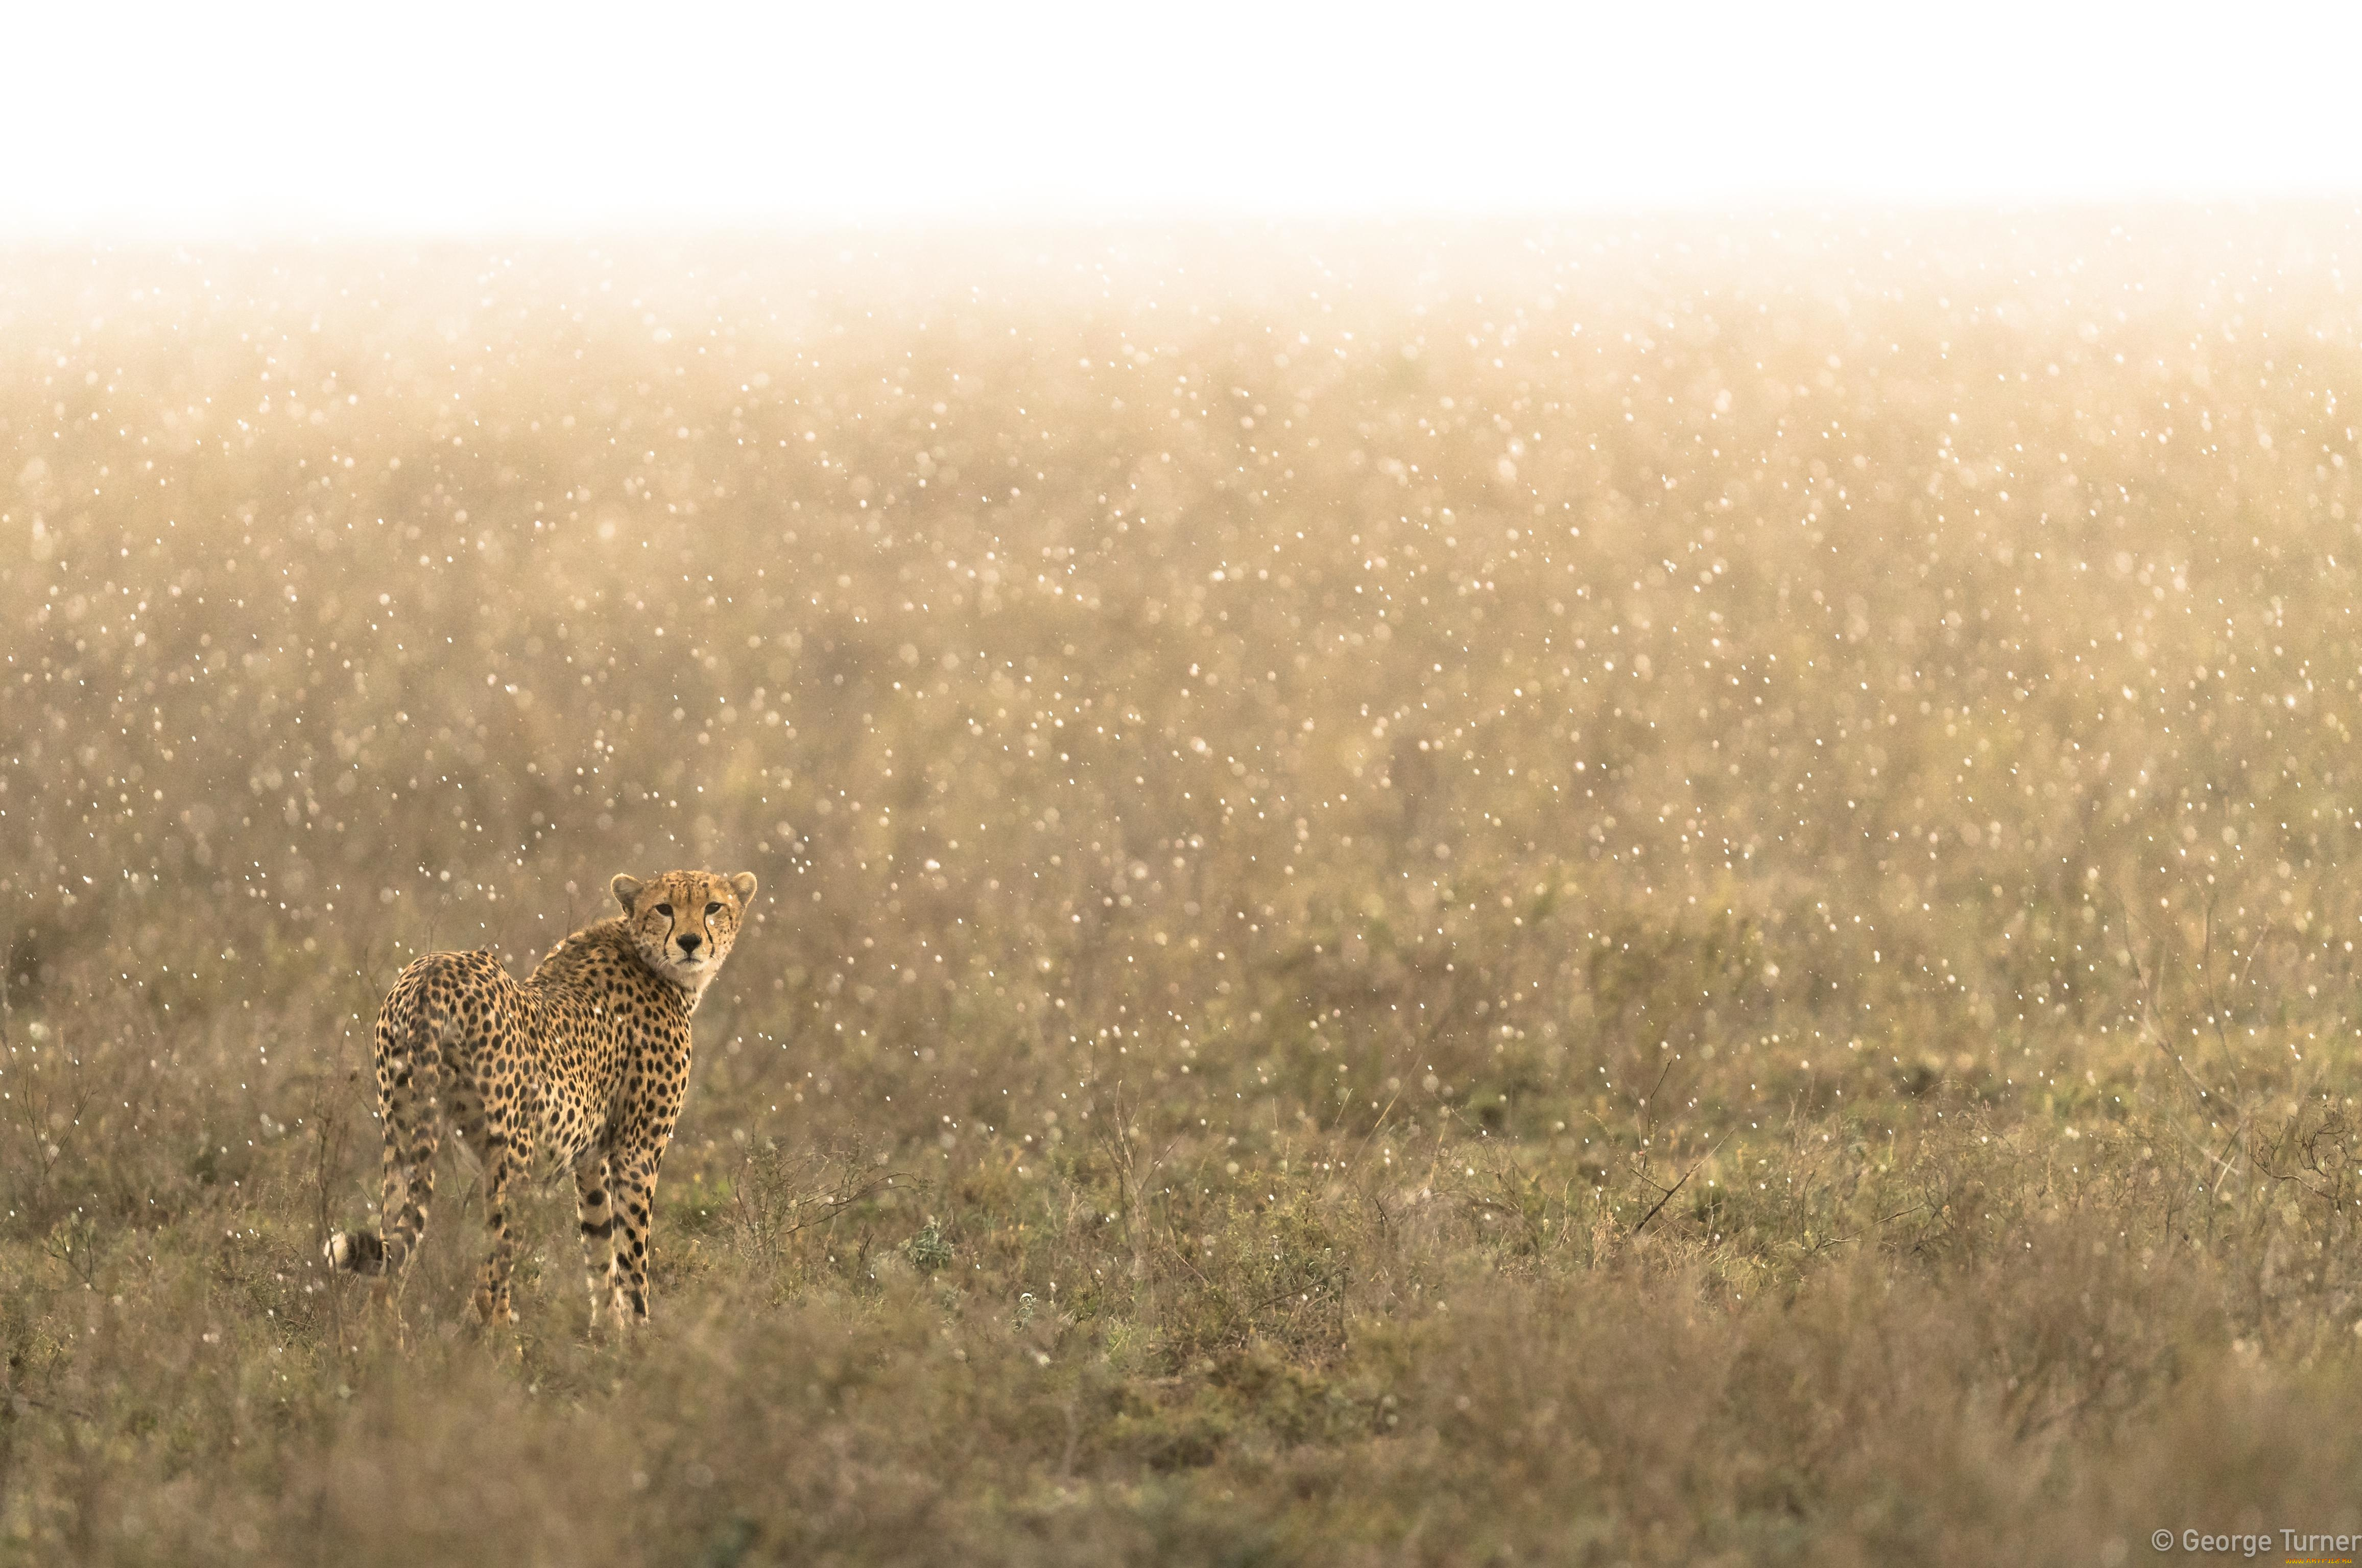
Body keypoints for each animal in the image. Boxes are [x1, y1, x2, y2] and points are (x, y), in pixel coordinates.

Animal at [326, 869, 756, 1322]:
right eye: (664, 908)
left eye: (713, 907)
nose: (690, 942)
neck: (649, 958)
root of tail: (434, 970)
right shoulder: (637, 1153)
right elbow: (633, 1259)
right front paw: (640, 1334)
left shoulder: (590, 1159)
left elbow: (600, 1248)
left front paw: (609, 1331)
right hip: (512, 1154)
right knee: (490, 1278)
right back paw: (501, 1338)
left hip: (402, 1133)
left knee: (390, 1267)